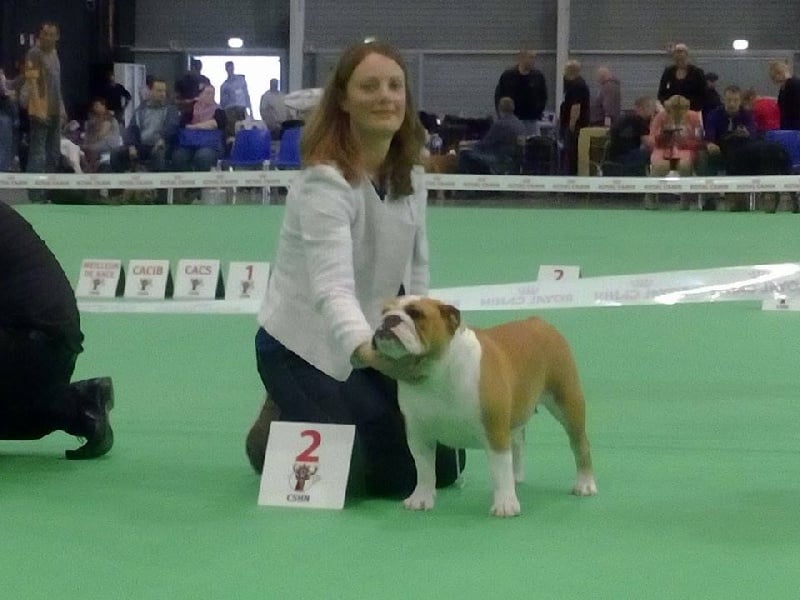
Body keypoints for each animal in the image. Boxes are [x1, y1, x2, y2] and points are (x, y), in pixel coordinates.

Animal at [372, 296, 597, 517]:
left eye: (416, 314)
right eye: (383, 312)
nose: (389, 319)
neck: (437, 370)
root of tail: (538, 322)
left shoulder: (495, 431)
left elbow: (500, 469)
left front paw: (506, 504)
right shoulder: (420, 436)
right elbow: (424, 469)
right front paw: (421, 498)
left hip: (567, 402)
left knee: (580, 444)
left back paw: (585, 484)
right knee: (518, 443)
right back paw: (516, 476)